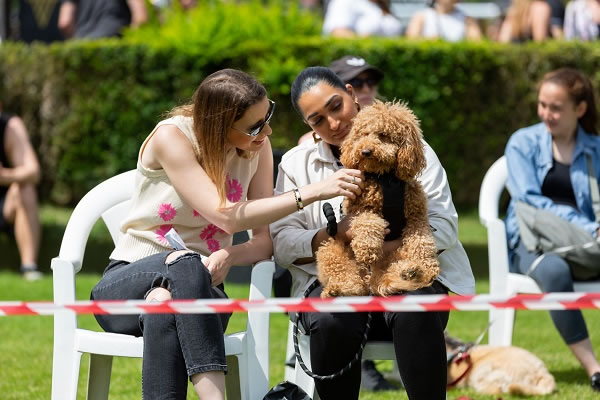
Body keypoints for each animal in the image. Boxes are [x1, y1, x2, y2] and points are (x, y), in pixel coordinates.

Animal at [316, 101, 438, 298]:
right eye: (363, 134)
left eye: (383, 135)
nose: (365, 151)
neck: (386, 179)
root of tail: (369, 278)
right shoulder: (362, 209)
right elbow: (368, 223)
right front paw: (367, 249)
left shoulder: (416, 217)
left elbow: (422, 242)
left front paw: (428, 267)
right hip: (331, 248)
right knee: (351, 281)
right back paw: (337, 289)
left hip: (393, 255)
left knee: (388, 275)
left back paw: (410, 272)